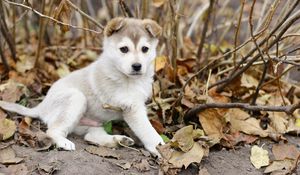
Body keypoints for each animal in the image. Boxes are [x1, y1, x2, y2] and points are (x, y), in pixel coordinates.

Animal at [0, 17, 164, 155]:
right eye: (124, 49)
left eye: (145, 49)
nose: (137, 66)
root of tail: (42, 106)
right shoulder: (132, 108)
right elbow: (147, 130)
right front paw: (159, 147)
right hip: (76, 99)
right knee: (52, 131)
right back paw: (64, 143)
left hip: (94, 124)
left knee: (90, 137)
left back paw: (119, 140)